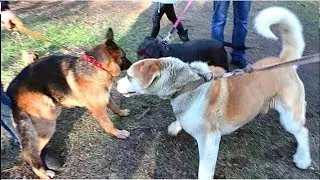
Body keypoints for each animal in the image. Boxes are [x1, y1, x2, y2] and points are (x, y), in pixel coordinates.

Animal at [7, 28, 132, 179]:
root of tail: (11, 90)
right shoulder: (97, 108)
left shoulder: (104, 95)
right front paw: (118, 133)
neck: (97, 65)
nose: (132, 64)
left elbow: (113, 105)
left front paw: (121, 112)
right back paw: (43, 174)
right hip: (46, 121)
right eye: (124, 56)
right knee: (29, 153)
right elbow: (108, 123)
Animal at [117, 6, 310, 179]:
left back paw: (303, 159)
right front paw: (175, 127)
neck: (189, 85)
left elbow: (204, 170)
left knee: (302, 131)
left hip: (289, 115)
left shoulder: (210, 140)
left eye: (129, 76)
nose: (116, 82)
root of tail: (284, 60)